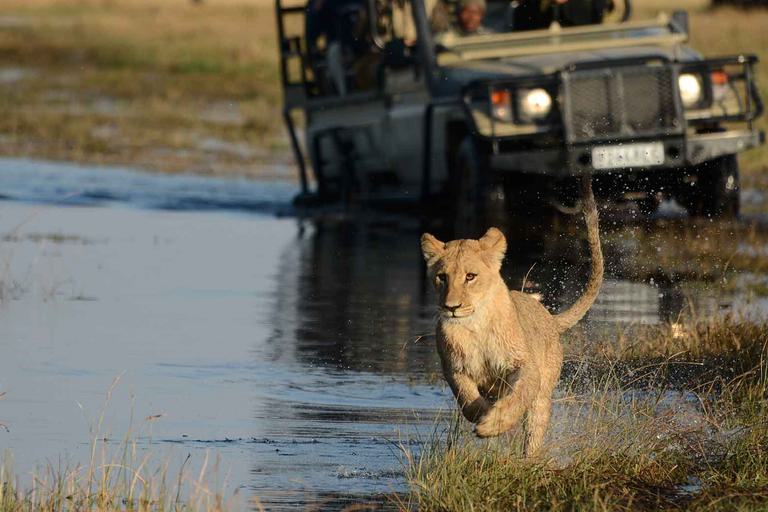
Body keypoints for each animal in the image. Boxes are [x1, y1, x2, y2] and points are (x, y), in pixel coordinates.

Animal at [420, 176, 603, 456]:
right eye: (442, 277)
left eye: (470, 276)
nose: (451, 306)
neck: (475, 325)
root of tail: (549, 317)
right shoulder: (454, 369)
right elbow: (467, 399)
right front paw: (483, 415)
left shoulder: (525, 365)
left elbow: (520, 394)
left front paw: (493, 424)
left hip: (543, 395)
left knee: (534, 429)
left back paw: (529, 459)